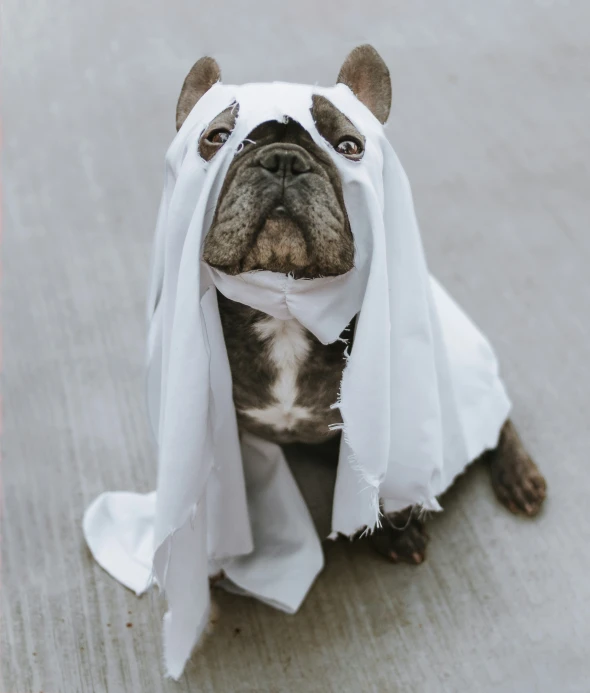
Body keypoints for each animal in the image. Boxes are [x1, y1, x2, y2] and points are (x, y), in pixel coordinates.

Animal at [176, 44, 552, 564]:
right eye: (216, 137)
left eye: (350, 146)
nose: (285, 160)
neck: (284, 313)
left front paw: (395, 527)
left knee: (491, 413)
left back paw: (518, 475)